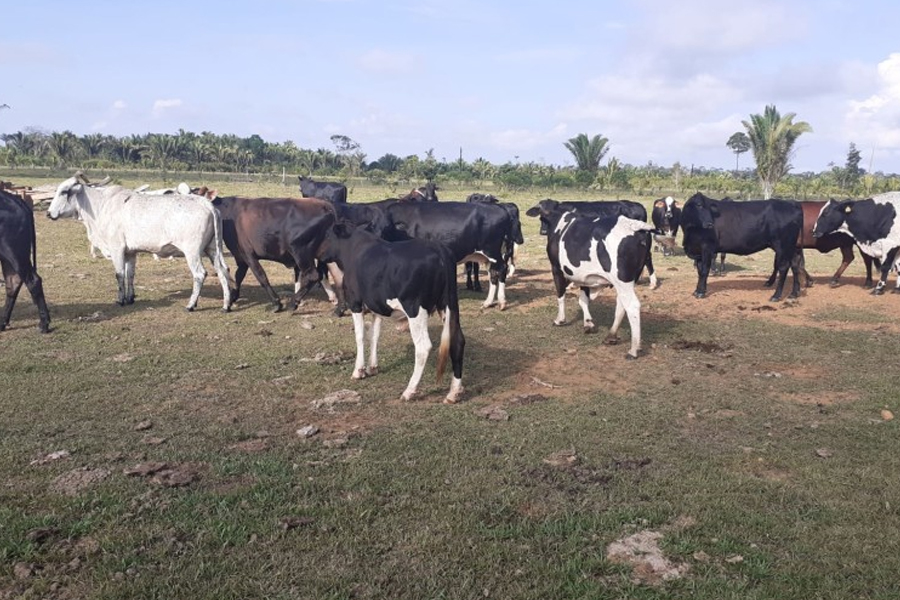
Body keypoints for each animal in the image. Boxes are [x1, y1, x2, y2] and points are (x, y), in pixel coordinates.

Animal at [48, 173, 236, 312]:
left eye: (64, 191)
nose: (49, 214)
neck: (101, 205)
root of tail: (207, 205)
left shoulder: (116, 248)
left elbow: (119, 274)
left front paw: (120, 300)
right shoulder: (131, 252)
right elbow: (130, 274)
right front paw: (130, 297)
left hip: (193, 251)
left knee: (199, 274)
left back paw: (191, 305)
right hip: (213, 249)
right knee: (223, 270)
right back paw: (226, 305)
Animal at [316, 221, 468, 404]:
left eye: (327, 235)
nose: (317, 253)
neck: (354, 250)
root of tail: (438, 248)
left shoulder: (355, 303)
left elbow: (360, 336)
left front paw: (359, 371)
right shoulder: (377, 306)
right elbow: (374, 335)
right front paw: (372, 367)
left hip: (415, 308)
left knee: (423, 346)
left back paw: (410, 390)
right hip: (449, 305)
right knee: (457, 340)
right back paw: (454, 392)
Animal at [376, 200, 524, 310]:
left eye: (383, 228)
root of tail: (500, 206)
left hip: (492, 250)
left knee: (501, 269)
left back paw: (502, 302)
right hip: (490, 255)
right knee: (493, 273)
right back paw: (488, 302)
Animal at [528, 204, 652, 358]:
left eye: (542, 218)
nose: (542, 231)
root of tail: (634, 225)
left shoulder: (556, 268)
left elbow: (560, 295)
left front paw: (560, 319)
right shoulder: (585, 276)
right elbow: (583, 300)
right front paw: (588, 323)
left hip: (622, 280)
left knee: (632, 306)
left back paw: (633, 349)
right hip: (629, 280)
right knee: (621, 305)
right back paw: (611, 336)